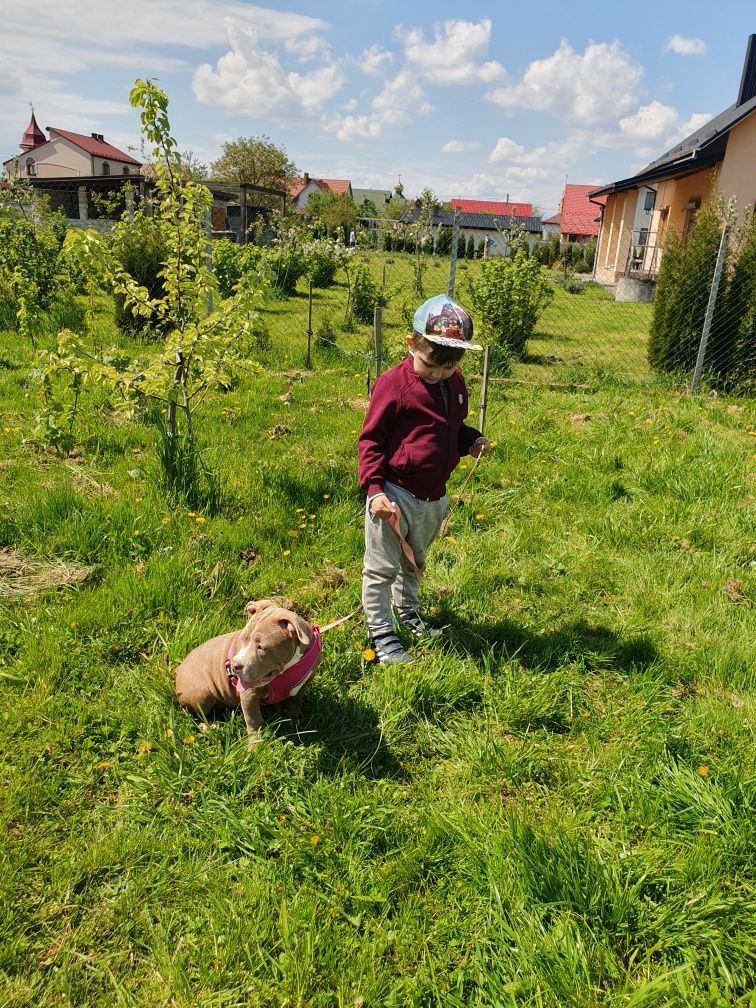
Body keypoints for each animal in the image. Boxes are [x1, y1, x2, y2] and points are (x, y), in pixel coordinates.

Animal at [174, 596, 320, 749]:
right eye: (243, 639)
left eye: (262, 647)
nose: (234, 665)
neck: (288, 667)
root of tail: (177, 670)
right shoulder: (249, 693)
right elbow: (254, 720)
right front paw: (255, 745)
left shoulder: (307, 679)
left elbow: (295, 699)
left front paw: (295, 716)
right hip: (201, 694)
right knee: (197, 714)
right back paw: (210, 726)